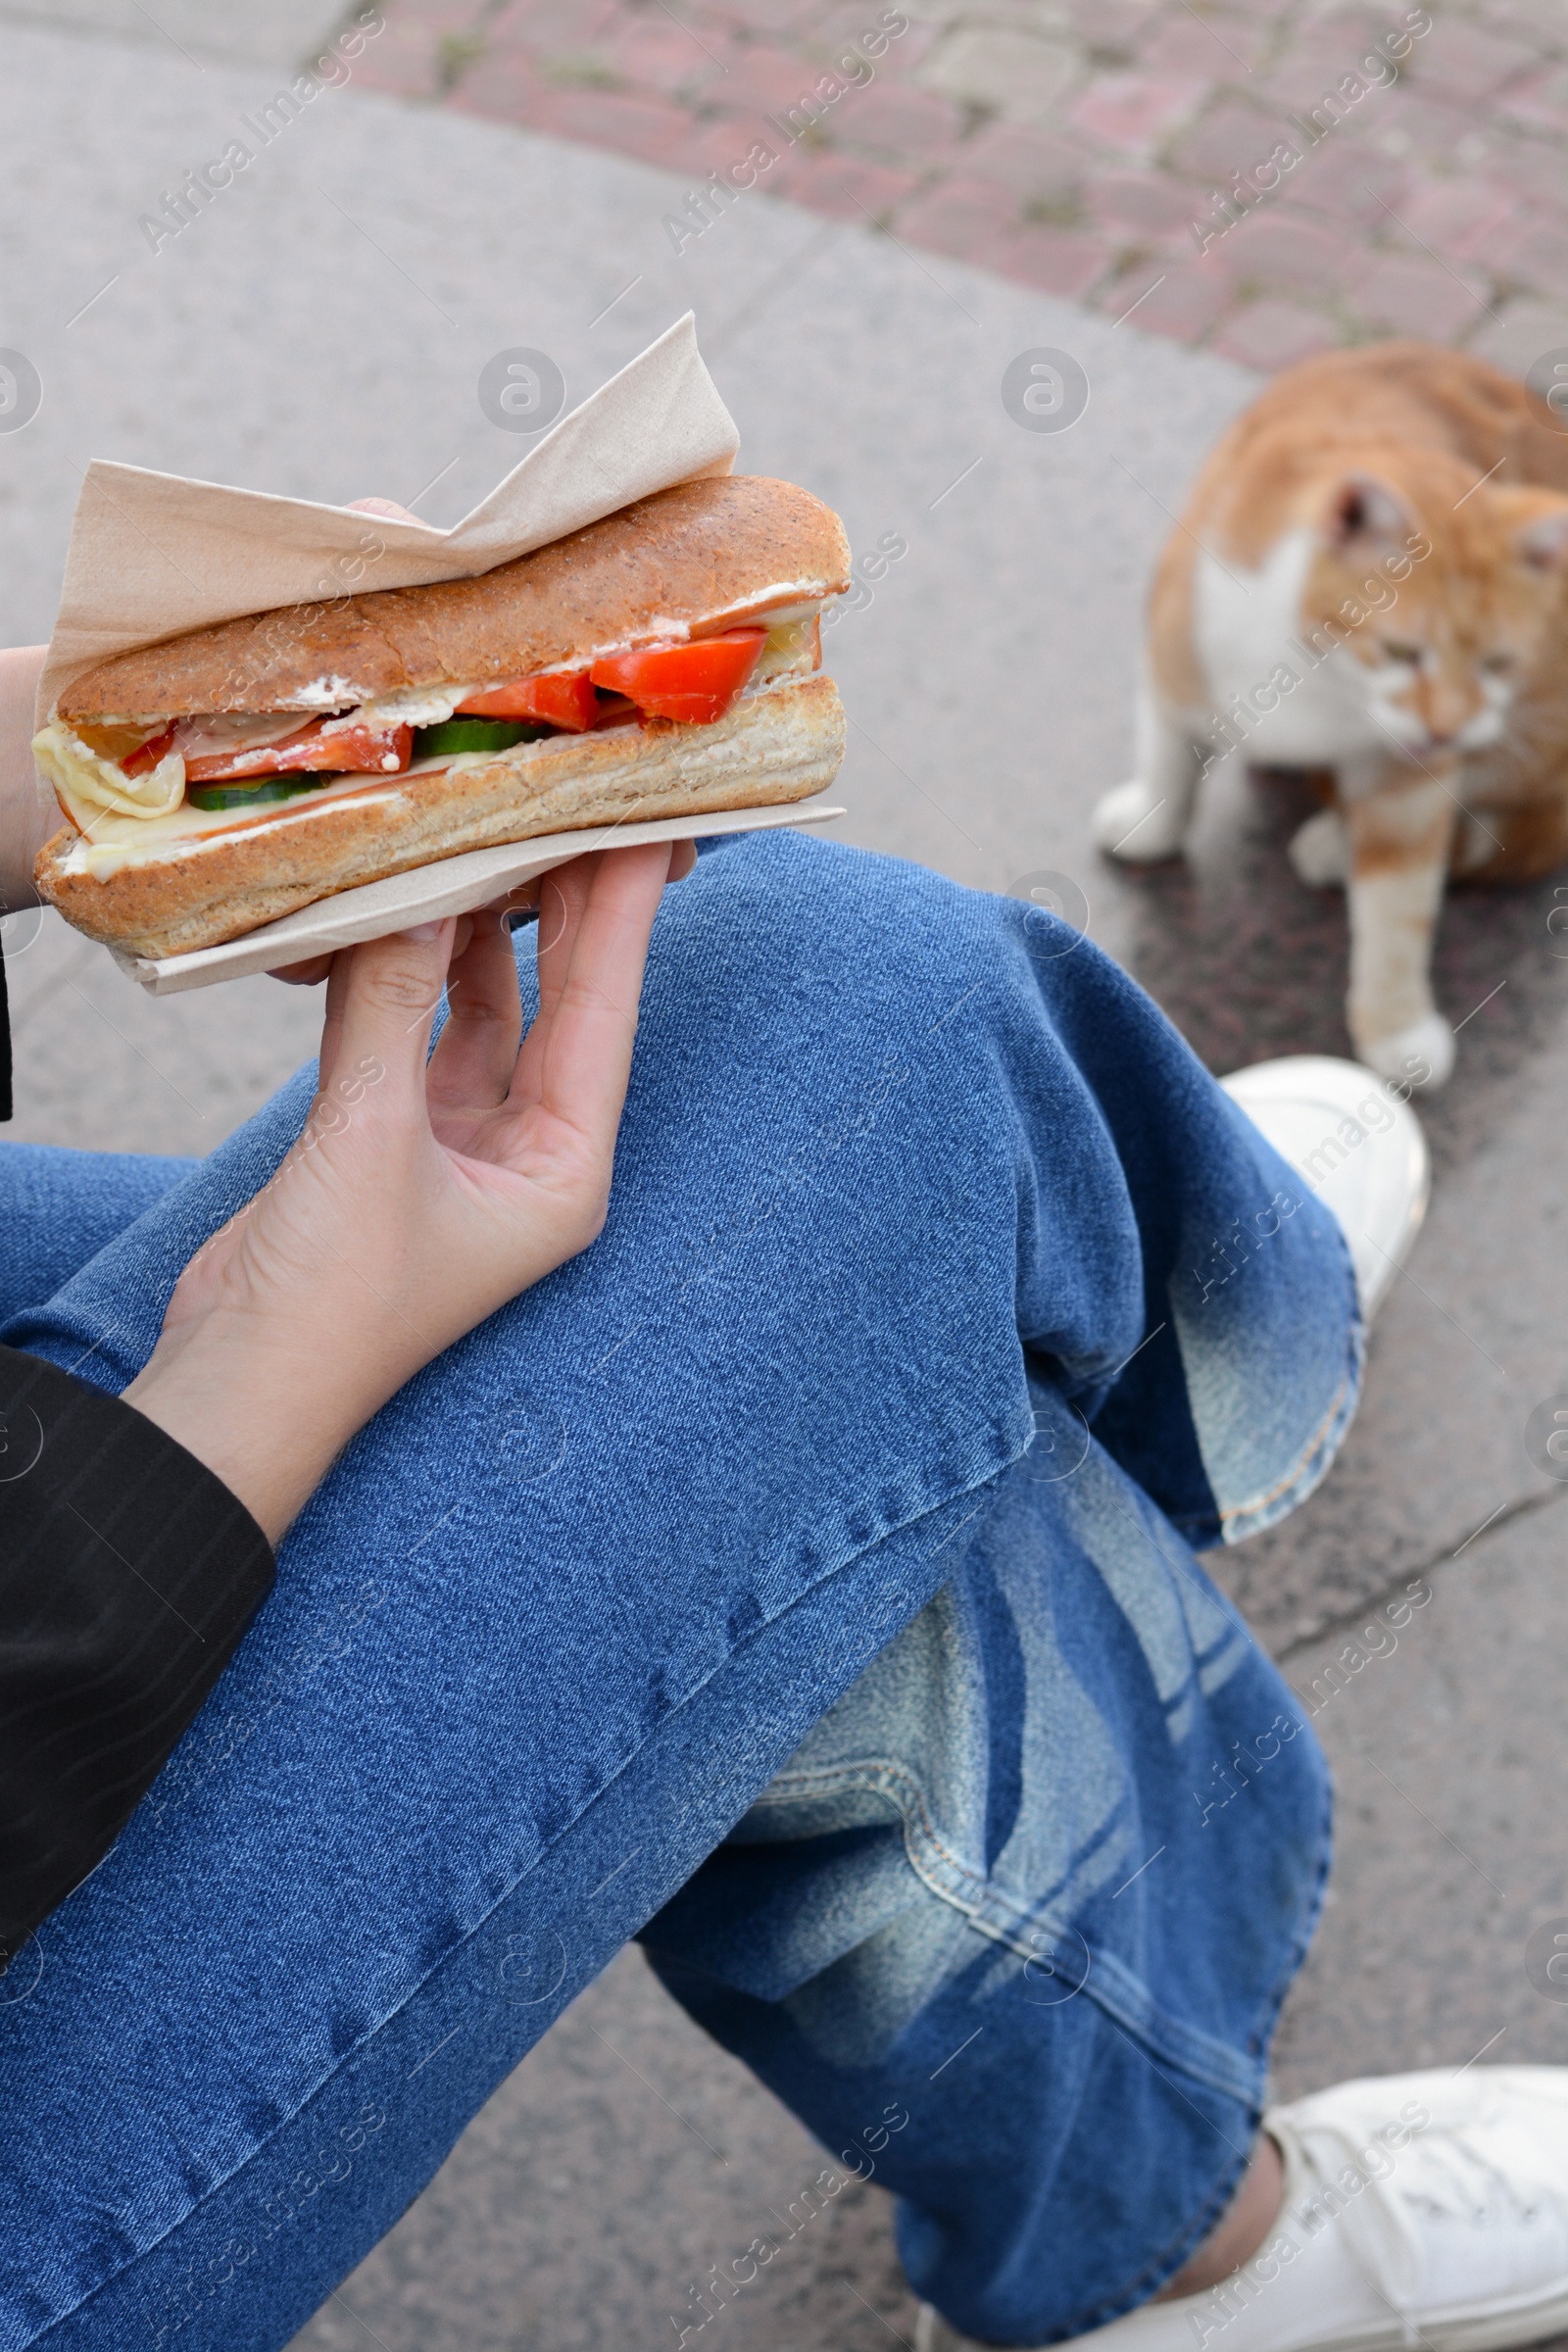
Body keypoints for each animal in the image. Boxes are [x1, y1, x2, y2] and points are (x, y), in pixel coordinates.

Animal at [1100, 338, 1568, 1082]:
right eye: (1403, 652)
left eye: (1498, 664)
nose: (1447, 729)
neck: (1323, 683)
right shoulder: (1174, 656)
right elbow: (1167, 757)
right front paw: (1153, 819)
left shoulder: (1411, 785)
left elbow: (1399, 911)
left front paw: (1396, 1025)